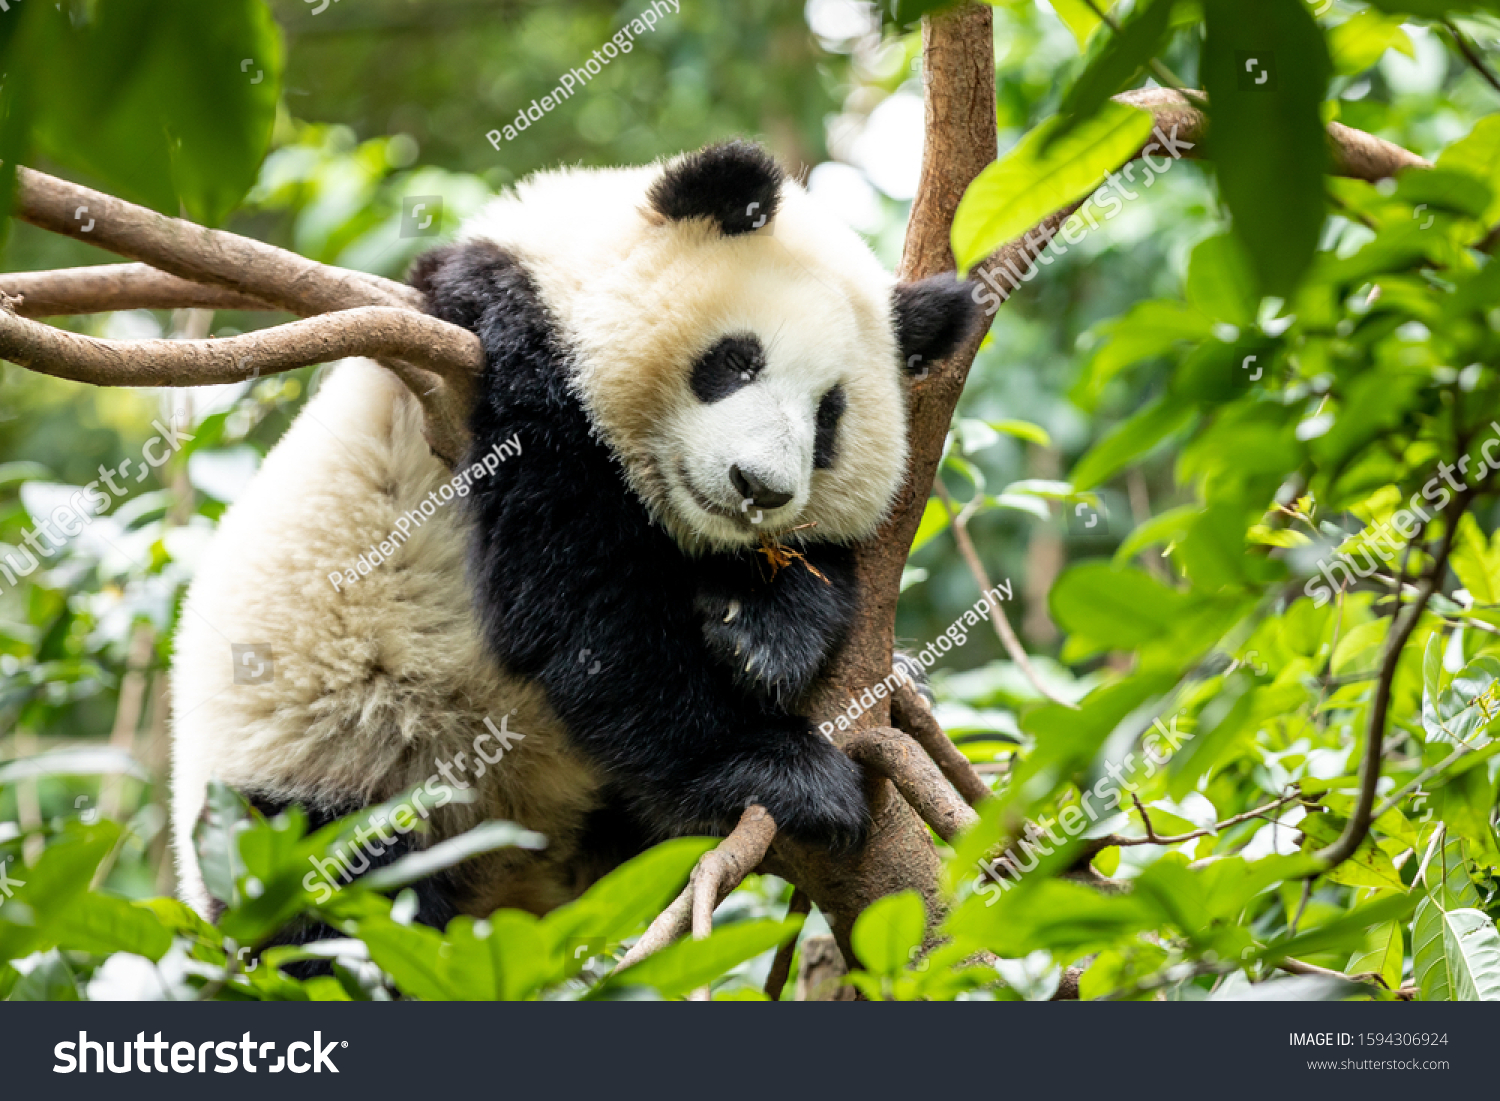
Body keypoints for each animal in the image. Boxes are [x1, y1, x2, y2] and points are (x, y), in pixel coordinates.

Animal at [169, 140, 979, 936]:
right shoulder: (501, 355)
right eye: (737, 361)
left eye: (829, 416)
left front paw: (763, 631)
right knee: (329, 907)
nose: (760, 486)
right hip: (323, 777)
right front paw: (787, 771)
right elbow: (578, 609)